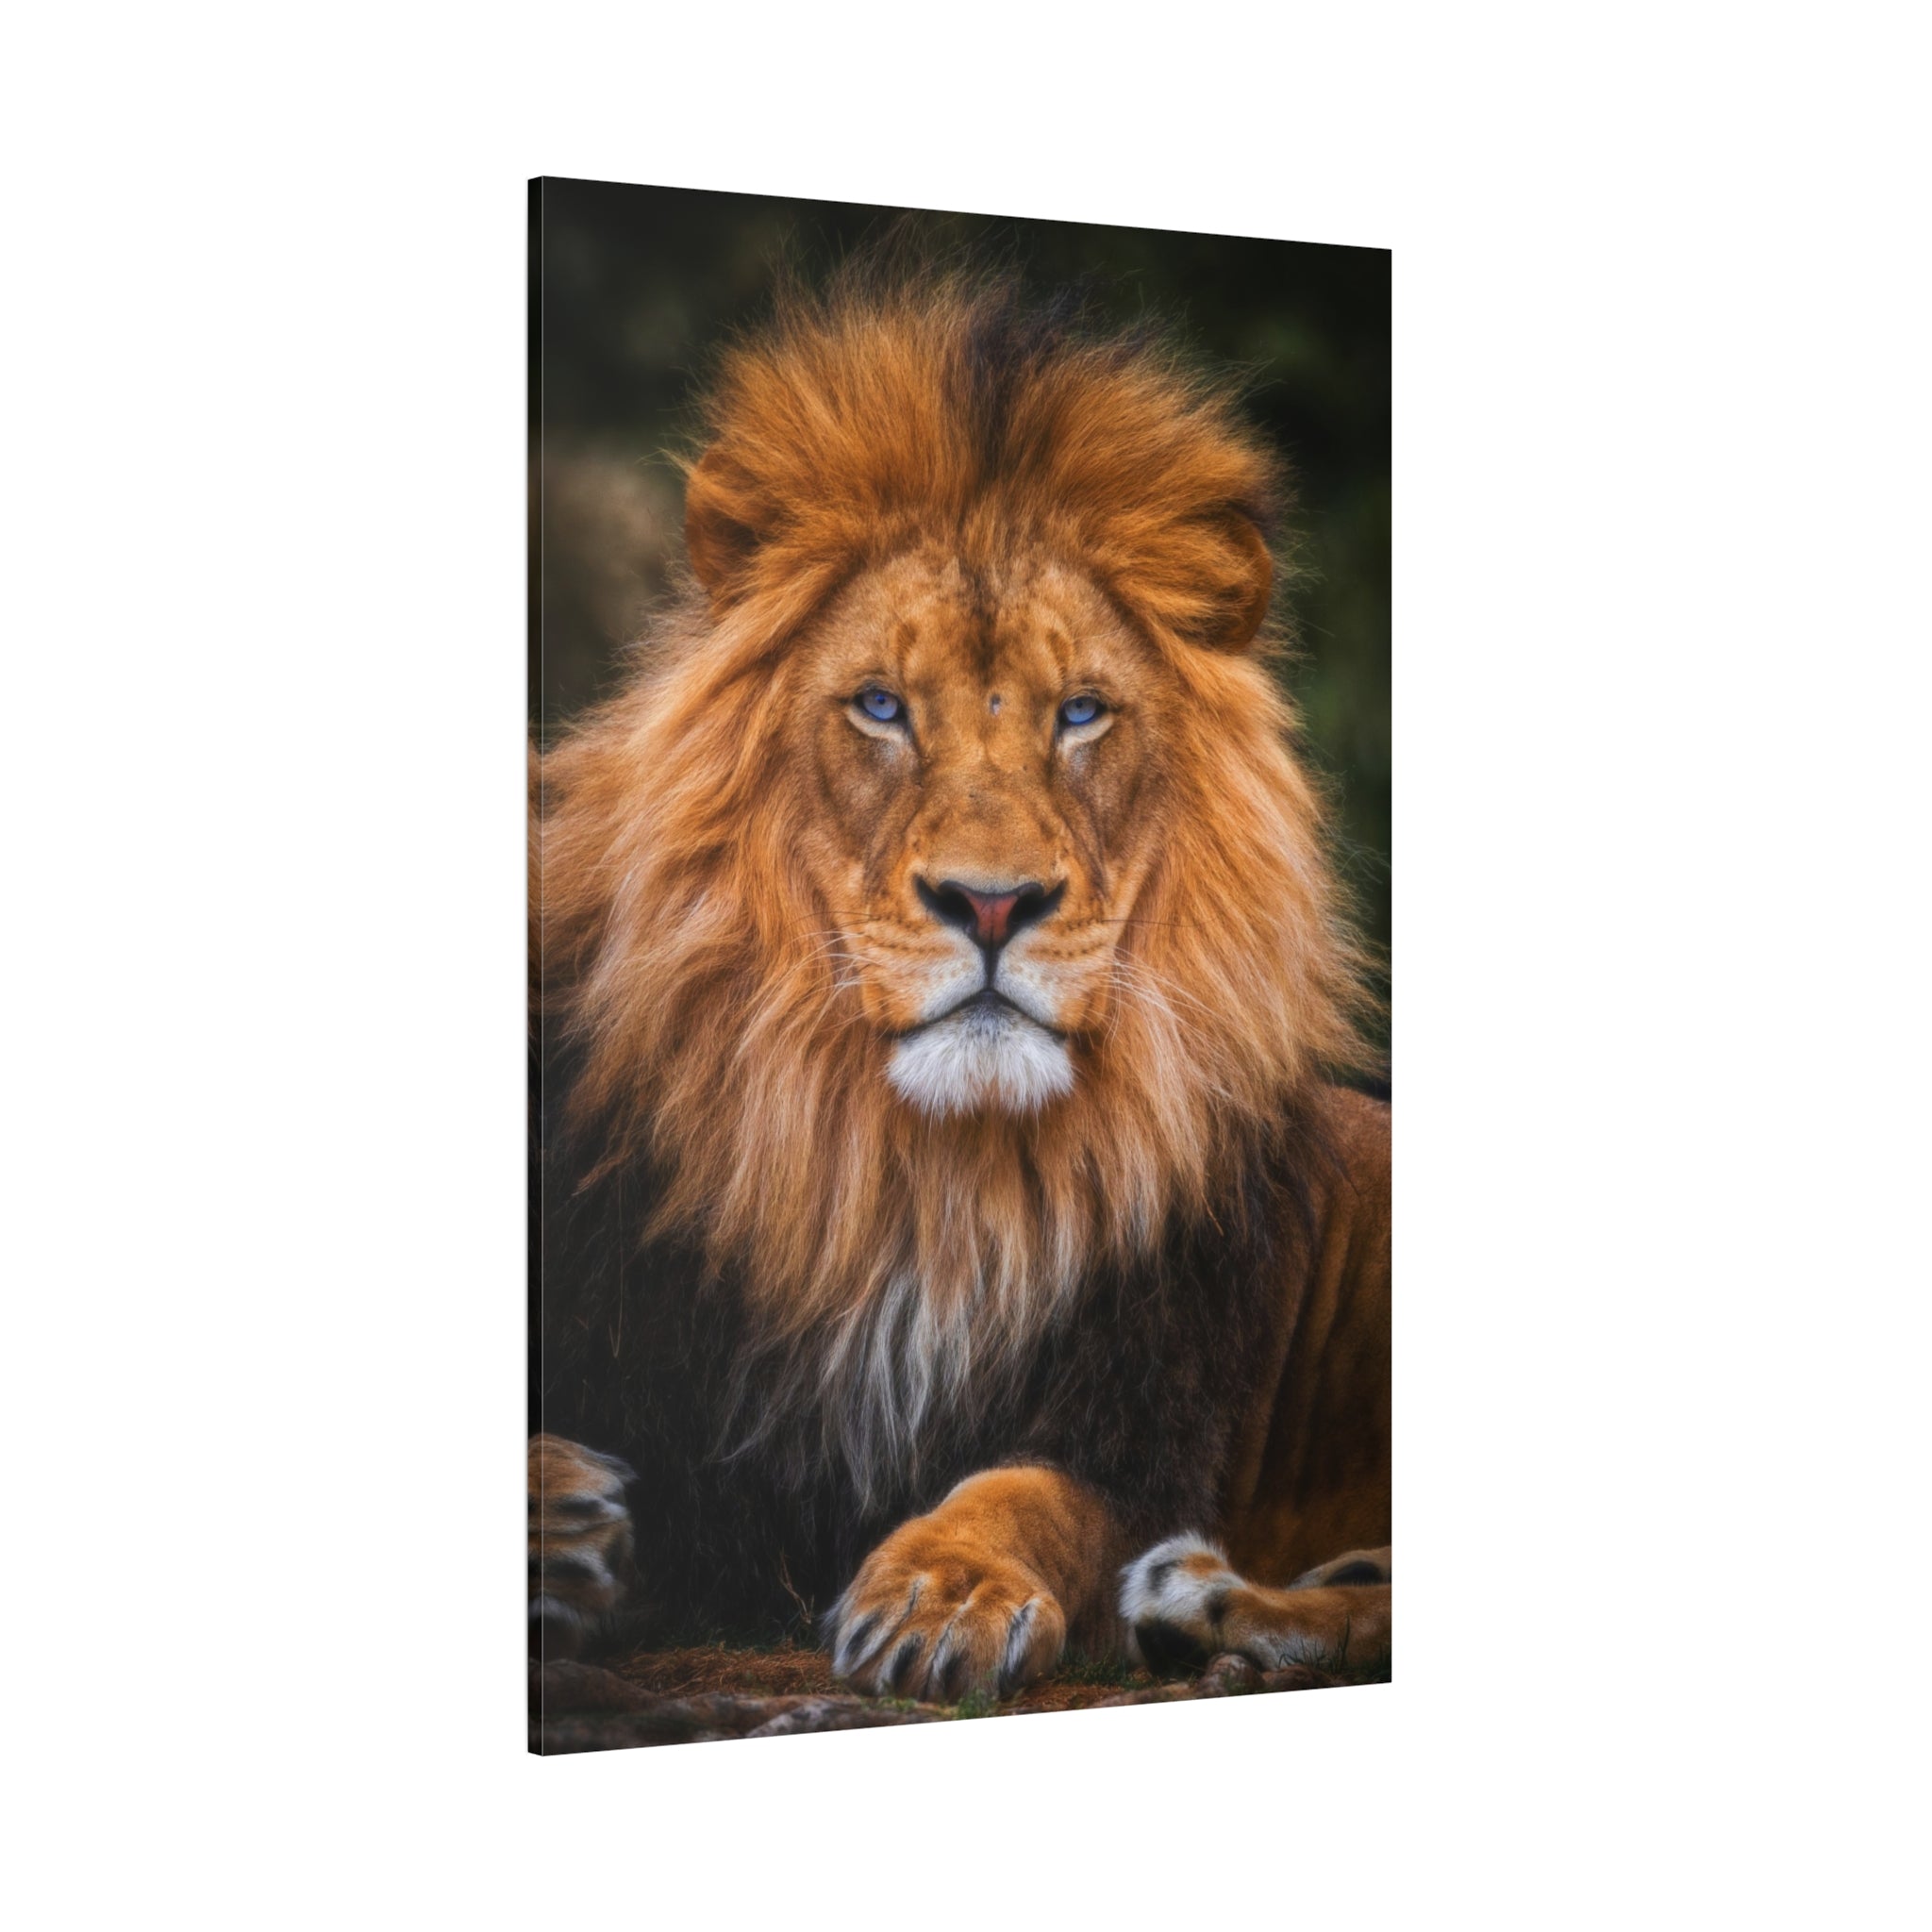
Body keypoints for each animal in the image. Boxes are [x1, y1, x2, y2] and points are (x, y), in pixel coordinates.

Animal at [529, 267, 1391, 1708]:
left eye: (1080, 713)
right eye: (881, 706)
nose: (992, 904)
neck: (923, 1178)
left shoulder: (1140, 1423)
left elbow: (1028, 1495)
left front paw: (945, 1590)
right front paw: (559, 1524)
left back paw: (1208, 1604)